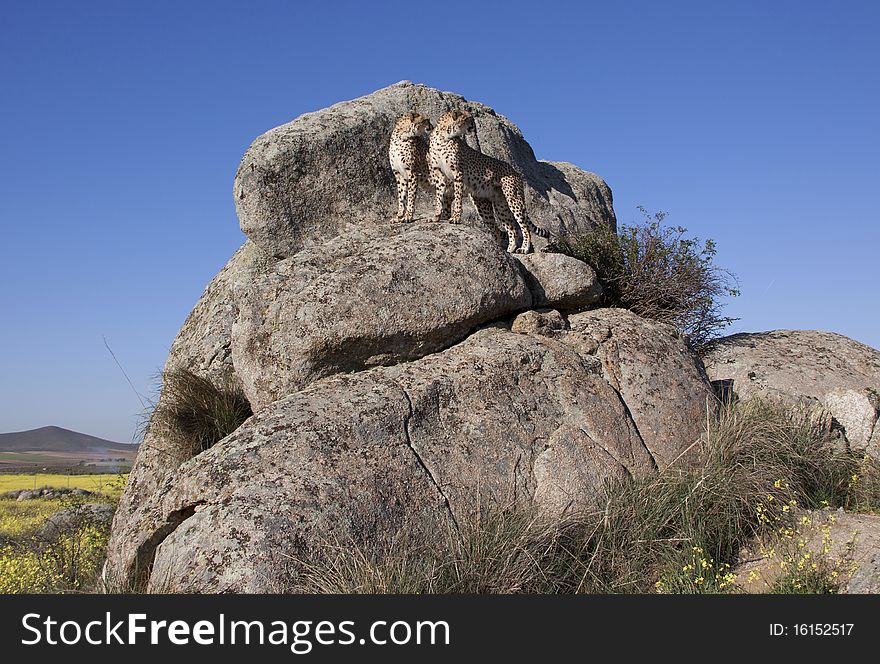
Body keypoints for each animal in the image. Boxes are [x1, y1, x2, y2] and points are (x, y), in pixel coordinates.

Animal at [428, 109, 548, 254]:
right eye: (468, 119)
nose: (473, 127)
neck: (444, 135)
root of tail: (514, 170)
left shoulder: (458, 173)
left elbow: (457, 200)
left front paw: (455, 218)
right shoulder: (439, 173)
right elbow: (439, 197)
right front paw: (436, 216)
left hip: (513, 198)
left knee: (524, 227)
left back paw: (523, 248)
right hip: (496, 205)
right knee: (509, 228)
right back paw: (508, 250)